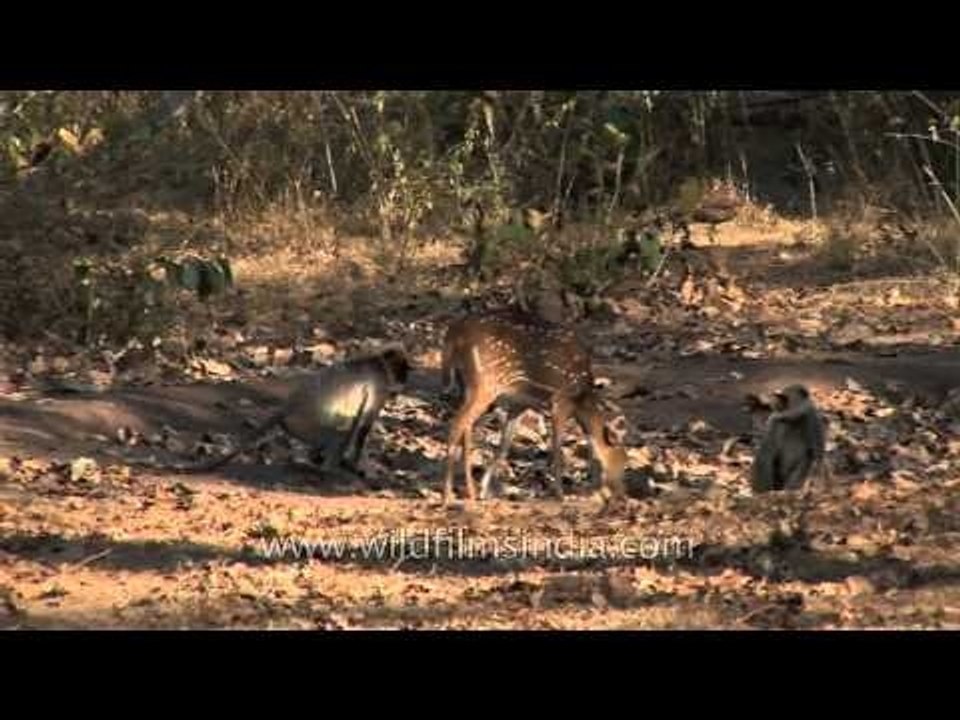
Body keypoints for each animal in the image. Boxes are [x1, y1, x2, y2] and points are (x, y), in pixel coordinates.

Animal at [440, 314, 628, 503]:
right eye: (620, 462)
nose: (622, 495)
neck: (582, 401)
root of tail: (453, 333)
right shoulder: (560, 402)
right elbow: (557, 449)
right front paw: (560, 494)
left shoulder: (519, 404)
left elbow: (504, 446)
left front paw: (485, 490)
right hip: (483, 384)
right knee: (456, 425)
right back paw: (449, 495)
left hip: (466, 386)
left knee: (466, 428)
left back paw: (470, 491)